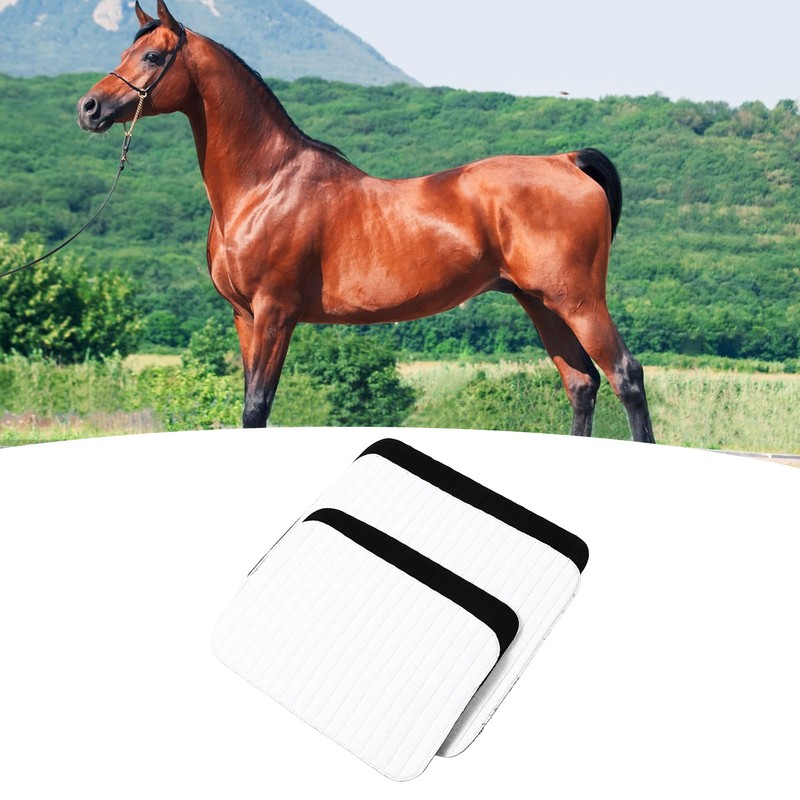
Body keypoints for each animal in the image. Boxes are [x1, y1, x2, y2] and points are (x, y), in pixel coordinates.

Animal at [77, 1, 655, 443]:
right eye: (124, 51)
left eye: (153, 55)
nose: (89, 108)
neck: (266, 184)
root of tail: (566, 160)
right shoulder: (244, 316)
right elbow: (250, 406)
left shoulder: (275, 313)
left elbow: (257, 408)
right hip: (540, 303)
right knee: (581, 384)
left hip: (578, 301)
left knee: (626, 376)